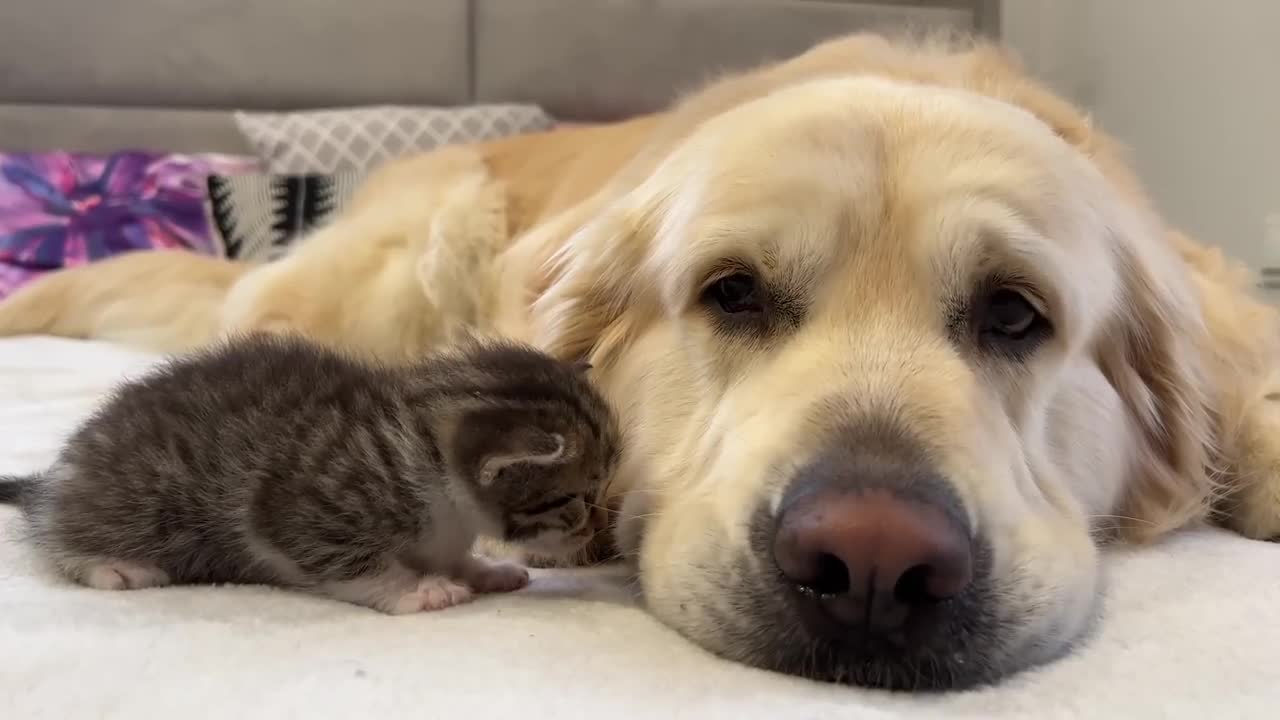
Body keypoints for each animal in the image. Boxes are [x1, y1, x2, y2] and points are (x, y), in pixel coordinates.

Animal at [0, 330, 619, 609]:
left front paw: (480, 570)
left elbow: (449, 554)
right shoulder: (300, 501)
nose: (595, 528)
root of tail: (58, 474)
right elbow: (338, 558)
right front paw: (416, 589)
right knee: (60, 534)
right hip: (139, 501)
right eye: (577, 498)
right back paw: (111, 566)